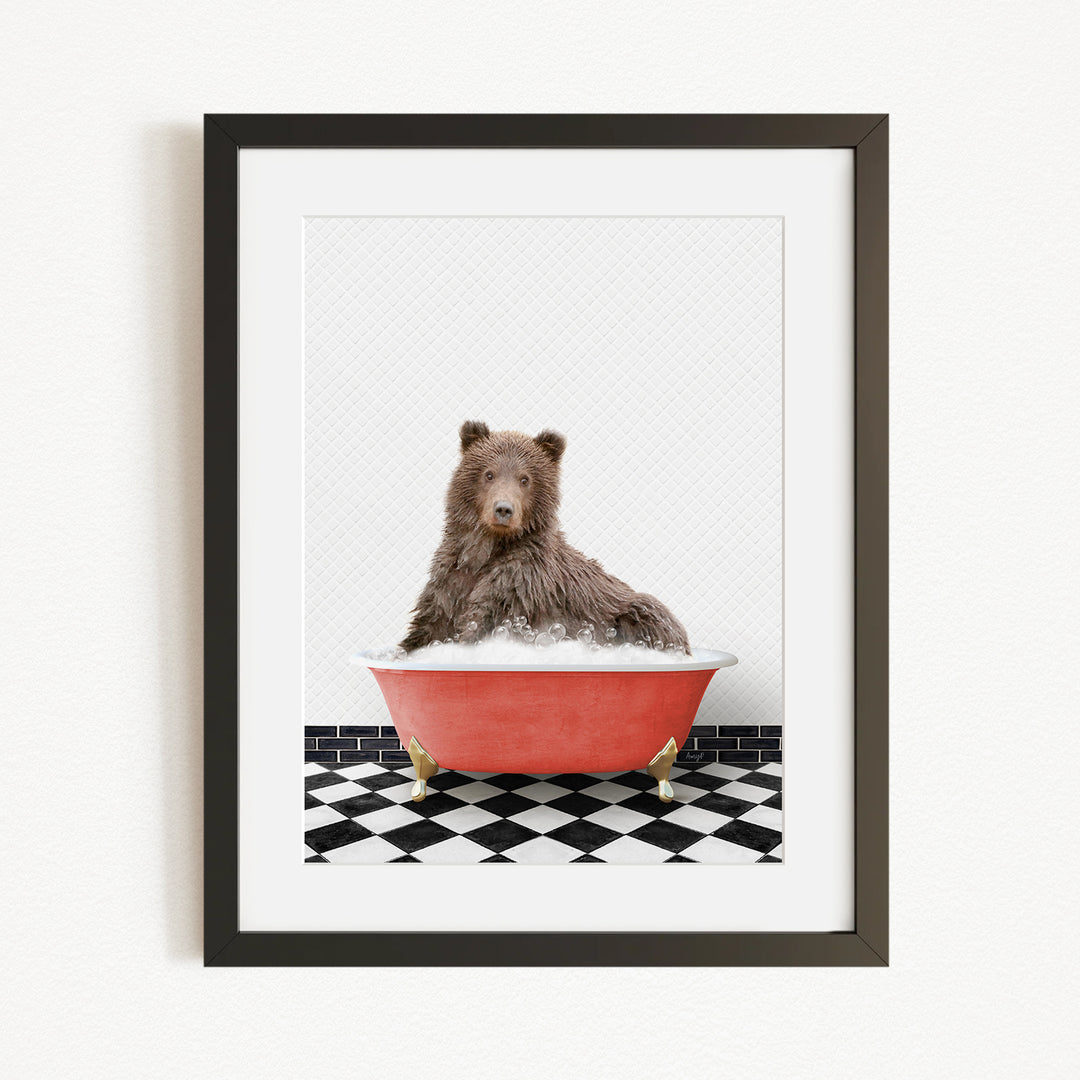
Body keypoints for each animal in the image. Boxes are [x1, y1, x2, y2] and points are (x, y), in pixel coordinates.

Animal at [399, 420, 690, 654]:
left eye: (525, 479)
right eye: (488, 474)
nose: (503, 509)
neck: (487, 549)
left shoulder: (520, 584)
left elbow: (483, 621)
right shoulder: (451, 579)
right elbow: (429, 626)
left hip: (634, 613)